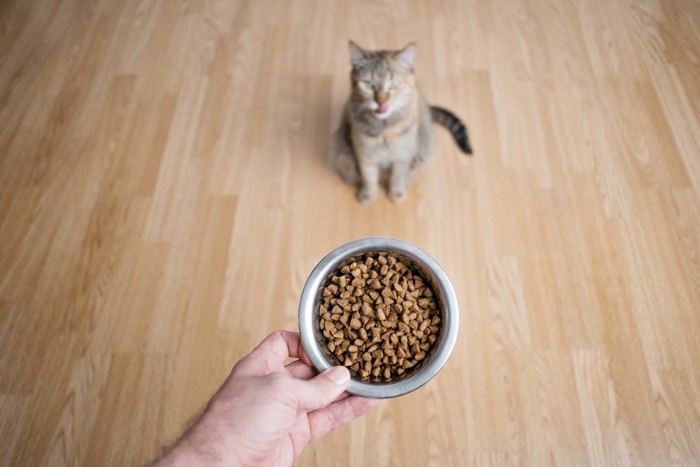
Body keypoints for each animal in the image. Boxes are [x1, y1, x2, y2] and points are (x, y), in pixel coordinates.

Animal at [330, 41, 474, 205]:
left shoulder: (402, 156)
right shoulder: (365, 155)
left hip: (425, 146)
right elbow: (369, 178)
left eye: (394, 85)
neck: (384, 130)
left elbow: (397, 177)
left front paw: (396, 194)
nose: (381, 103)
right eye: (368, 84)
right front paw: (369, 194)